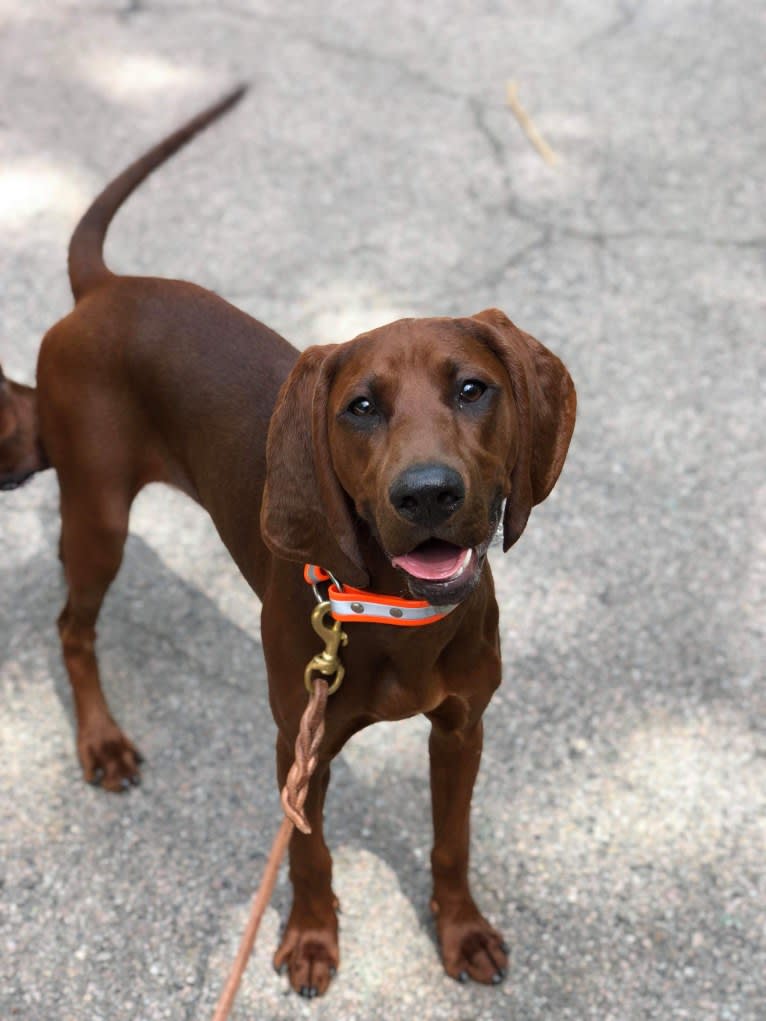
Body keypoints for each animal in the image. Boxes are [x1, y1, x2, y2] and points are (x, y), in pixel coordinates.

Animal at [0, 87, 576, 996]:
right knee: (72, 626)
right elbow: (309, 854)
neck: (391, 611)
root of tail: (106, 288)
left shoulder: (462, 728)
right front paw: (311, 939)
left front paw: (462, 930)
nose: (428, 493)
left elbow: (451, 843)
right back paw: (102, 741)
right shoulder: (299, 742)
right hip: (98, 515)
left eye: (473, 389)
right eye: (361, 407)